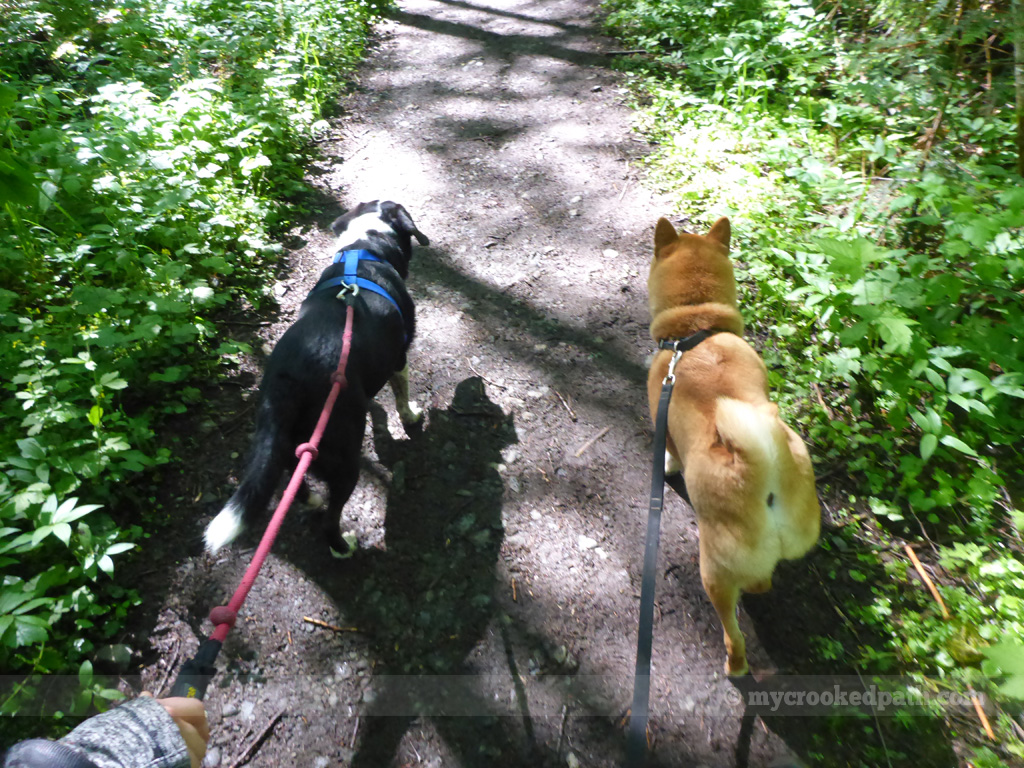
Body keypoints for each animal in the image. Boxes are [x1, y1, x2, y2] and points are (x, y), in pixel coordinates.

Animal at [204, 200, 429, 556]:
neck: (365, 248)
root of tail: (288, 381)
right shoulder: (399, 355)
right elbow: (401, 394)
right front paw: (410, 416)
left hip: (283, 441)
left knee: (290, 477)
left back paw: (309, 501)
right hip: (343, 459)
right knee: (331, 518)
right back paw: (344, 546)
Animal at [646, 216, 820, 676]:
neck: (695, 332)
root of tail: (766, 476)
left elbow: (669, 454)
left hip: (714, 573)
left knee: (733, 630)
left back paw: (734, 665)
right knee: (762, 580)